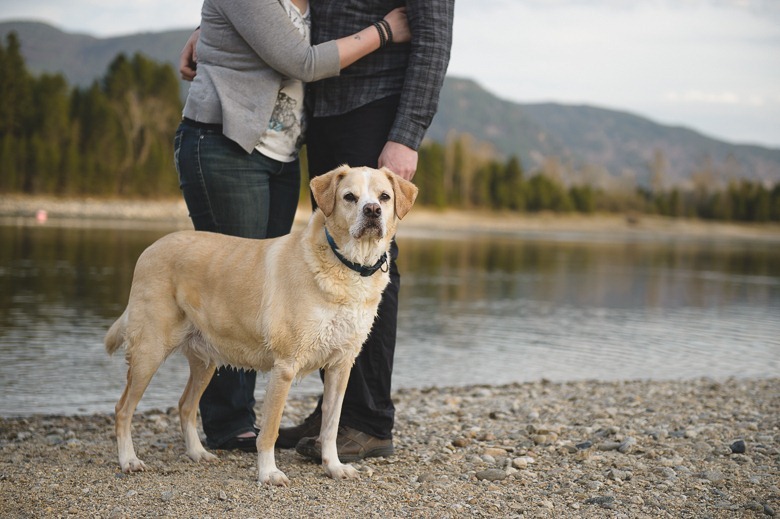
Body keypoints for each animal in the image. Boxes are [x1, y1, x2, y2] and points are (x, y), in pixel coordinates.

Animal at [108, 167, 420, 488]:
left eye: (384, 196)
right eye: (349, 197)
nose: (372, 211)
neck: (348, 265)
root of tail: (150, 247)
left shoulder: (341, 365)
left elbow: (331, 426)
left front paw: (333, 466)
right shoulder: (285, 367)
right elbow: (269, 431)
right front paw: (269, 472)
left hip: (205, 360)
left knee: (185, 406)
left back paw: (197, 453)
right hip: (150, 351)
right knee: (123, 409)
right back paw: (129, 460)